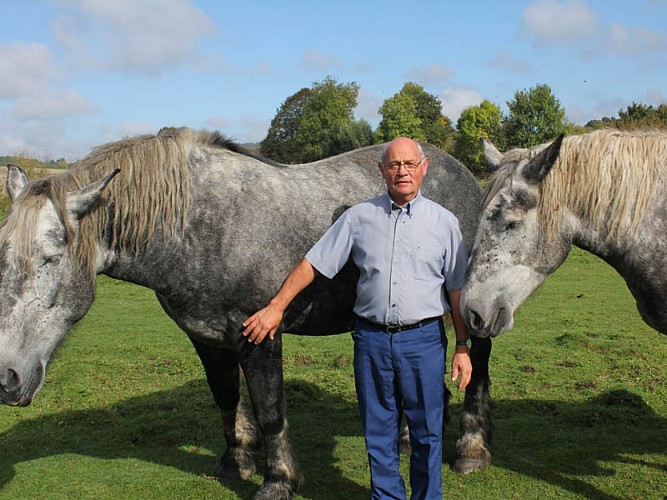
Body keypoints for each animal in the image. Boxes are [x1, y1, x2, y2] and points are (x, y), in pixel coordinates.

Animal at [0, 130, 490, 500]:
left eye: (49, 258)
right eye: (3, 257)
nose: (7, 378)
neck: (198, 226)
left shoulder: (258, 336)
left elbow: (270, 409)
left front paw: (279, 481)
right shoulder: (207, 338)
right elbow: (226, 398)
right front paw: (235, 463)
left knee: (476, 370)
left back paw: (470, 450)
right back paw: (410, 439)